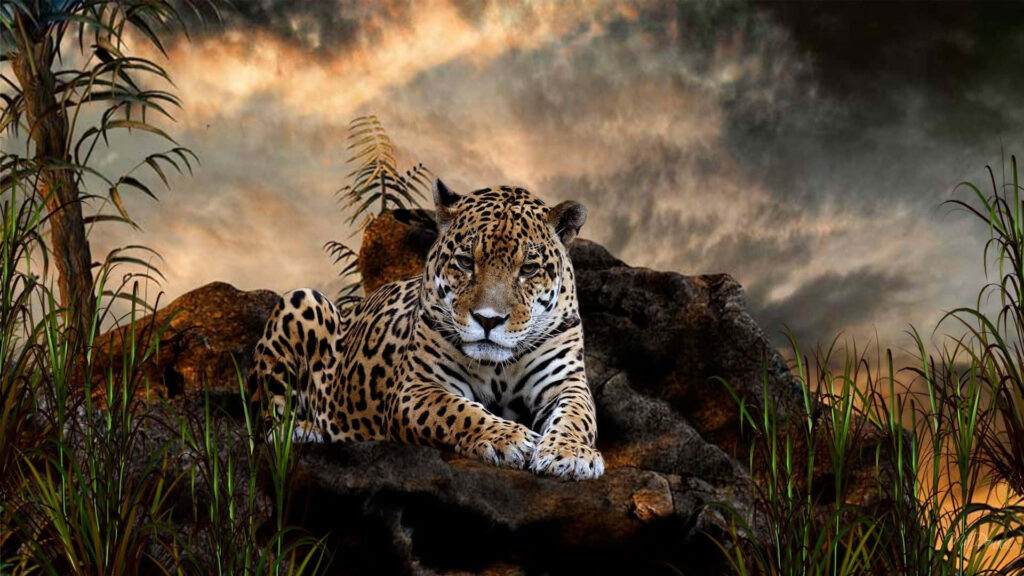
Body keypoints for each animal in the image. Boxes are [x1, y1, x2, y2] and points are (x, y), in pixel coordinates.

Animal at [247, 179, 603, 480]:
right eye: (465, 262)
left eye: (528, 269)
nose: (488, 320)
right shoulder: (416, 389)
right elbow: (458, 411)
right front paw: (510, 438)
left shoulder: (566, 383)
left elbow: (577, 416)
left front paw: (571, 454)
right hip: (301, 299)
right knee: (266, 424)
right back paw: (304, 430)